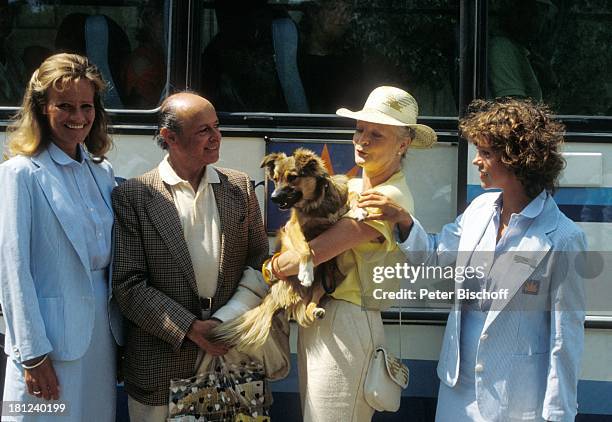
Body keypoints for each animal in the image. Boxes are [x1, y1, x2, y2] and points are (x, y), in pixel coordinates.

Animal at [208, 148, 354, 352]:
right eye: (275, 179)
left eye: (293, 177)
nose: (273, 197)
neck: (316, 204)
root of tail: (273, 296)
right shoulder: (292, 227)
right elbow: (305, 247)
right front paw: (306, 271)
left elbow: (347, 206)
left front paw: (359, 210)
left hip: (328, 280)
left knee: (309, 305)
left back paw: (315, 310)